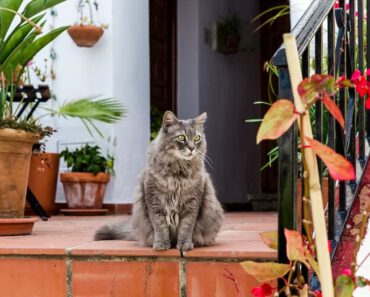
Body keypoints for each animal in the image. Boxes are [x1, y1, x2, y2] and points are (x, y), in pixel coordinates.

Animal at [94, 111, 223, 250]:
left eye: (197, 138)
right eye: (181, 138)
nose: (192, 148)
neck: (178, 174)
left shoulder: (192, 203)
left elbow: (186, 227)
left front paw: (184, 245)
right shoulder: (154, 201)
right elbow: (160, 226)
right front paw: (161, 244)